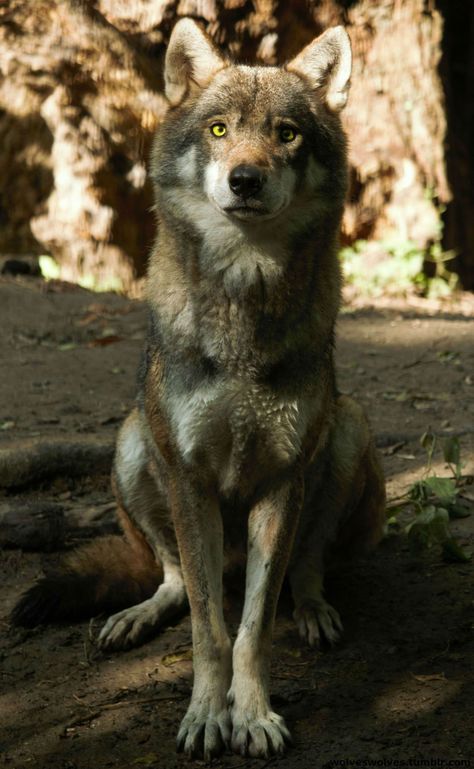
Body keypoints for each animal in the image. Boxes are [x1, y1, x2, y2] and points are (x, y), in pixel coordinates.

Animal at [12, 19, 386, 760]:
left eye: (286, 134)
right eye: (218, 130)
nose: (245, 178)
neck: (242, 305)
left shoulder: (281, 479)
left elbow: (253, 627)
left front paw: (255, 714)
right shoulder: (187, 476)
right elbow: (210, 628)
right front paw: (209, 714)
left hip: (346, 430)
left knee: (307, 565)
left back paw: (315, 611)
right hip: (133, 444)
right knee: (175, 580)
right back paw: (136, 614)